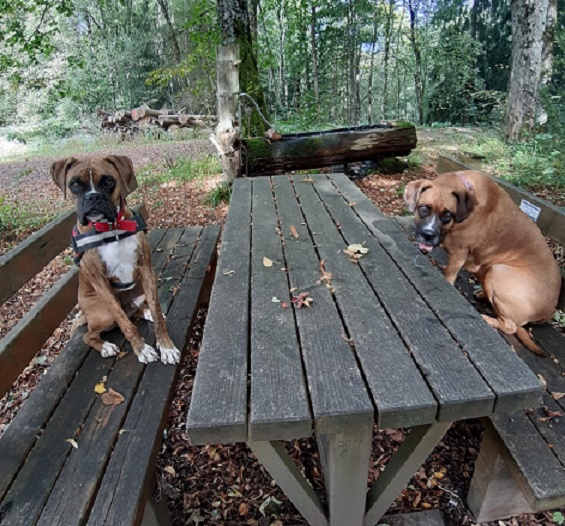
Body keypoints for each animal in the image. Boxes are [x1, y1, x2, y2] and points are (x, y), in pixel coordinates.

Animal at [51, 155, 180, 365]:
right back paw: (105, 346)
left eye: (109, 181)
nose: (93, 197)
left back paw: (146, 313)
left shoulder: (146, 269)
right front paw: (142, 349)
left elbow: (156, 311)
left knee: (136, 312)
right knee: (90, 333)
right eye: (75, 185)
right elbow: (124, 323)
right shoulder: (101, 284)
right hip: (104, 315)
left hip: (141, 289)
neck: (110, 229)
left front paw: (166, 347)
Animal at [404, 170, 561, 355]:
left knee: (511, 327)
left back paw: (487, 318)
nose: (428, 235)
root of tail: (548, 312)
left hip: (498, 270)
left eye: (448, 215)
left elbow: (448, 278)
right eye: (423, 208)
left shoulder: (458, 256)